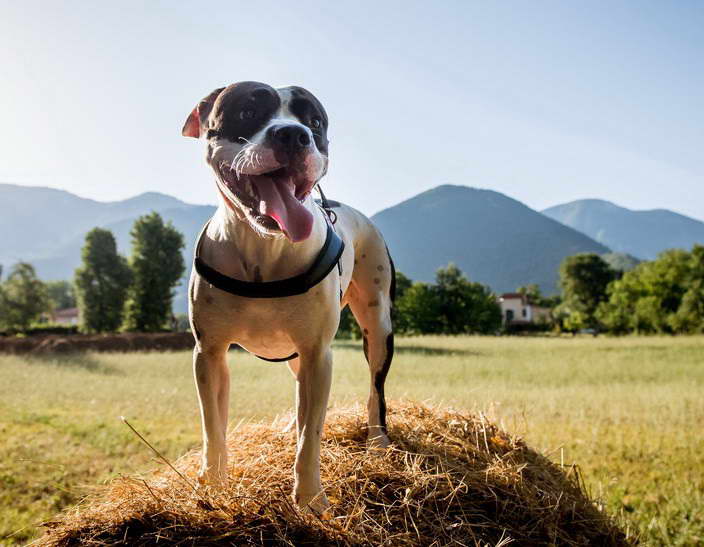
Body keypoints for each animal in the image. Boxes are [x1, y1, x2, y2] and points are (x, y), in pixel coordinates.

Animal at [183, 81, 396, 512]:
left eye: (314, 122)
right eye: (247, 112)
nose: (293, 135)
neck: (264, 247)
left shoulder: (318, 355)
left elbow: (310, 437)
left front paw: (311, 499)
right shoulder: (209, 354)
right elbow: (213, 428)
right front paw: (213, 486)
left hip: (378, 328)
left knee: (375, 391)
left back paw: (378, 441)